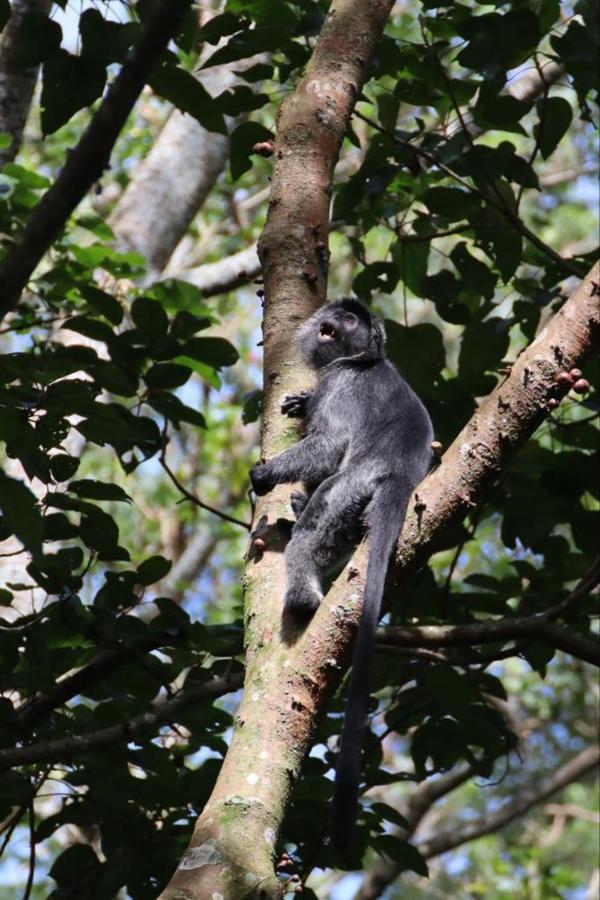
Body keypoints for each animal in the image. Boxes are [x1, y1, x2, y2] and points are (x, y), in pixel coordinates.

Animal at [251, 300, 434, 852]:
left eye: (352, 320)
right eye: (336, 314)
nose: (334, 320)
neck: (362, 362)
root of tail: (403, 474)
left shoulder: (343, 383)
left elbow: (330, 443)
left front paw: (265, 476)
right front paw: (296, 400)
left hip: (355, 483)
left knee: (323, 507)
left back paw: (303, 592)